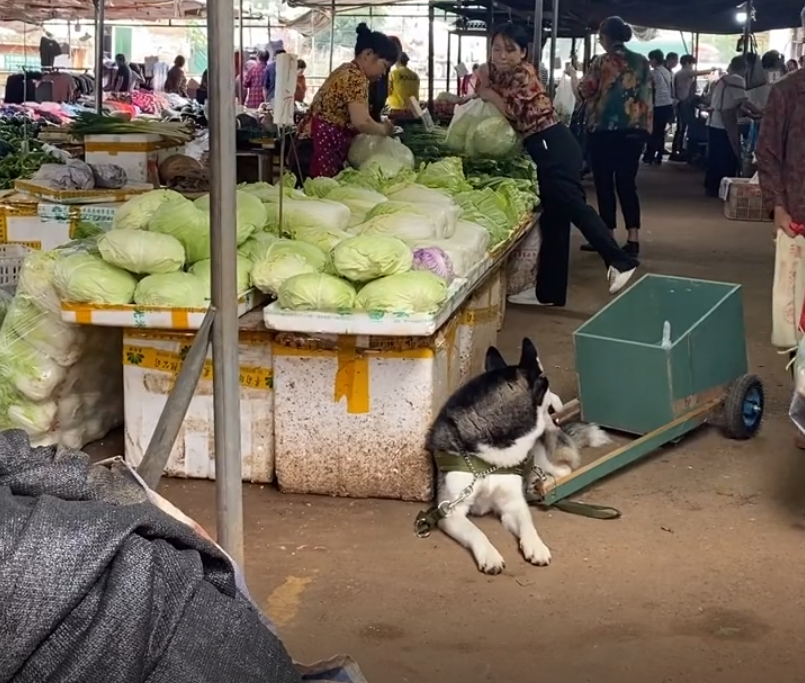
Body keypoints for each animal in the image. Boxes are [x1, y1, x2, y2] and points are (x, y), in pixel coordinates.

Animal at [428, 340, 552, 576]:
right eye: (549, 406)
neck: (489, 462)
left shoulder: (513, 504)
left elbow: (527, 523)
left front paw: (536, 545)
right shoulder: (451, 511)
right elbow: (476, 532)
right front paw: (490, 555)